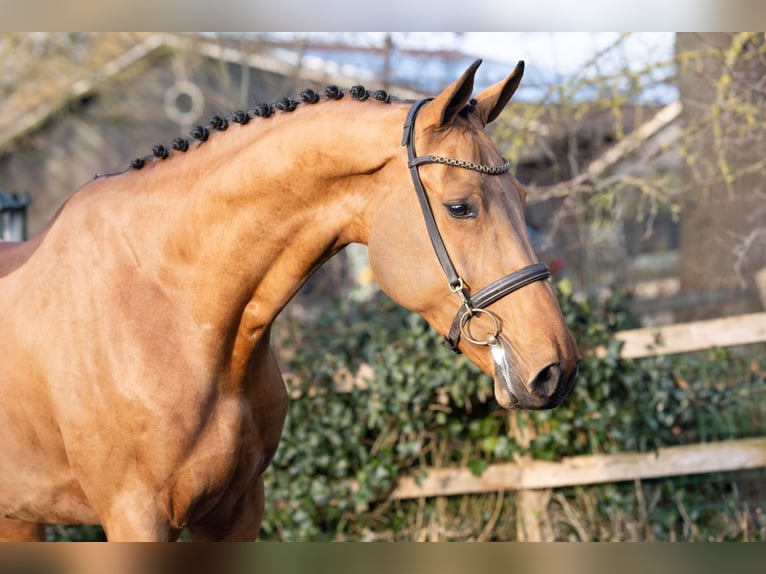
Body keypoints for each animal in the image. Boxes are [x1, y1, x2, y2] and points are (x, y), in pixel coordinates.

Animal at [0, 59, 579, 541]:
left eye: (523, 197)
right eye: (461, 207)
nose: (557, 369)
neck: (168, 306)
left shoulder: (237, 511)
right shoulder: (134, 518)